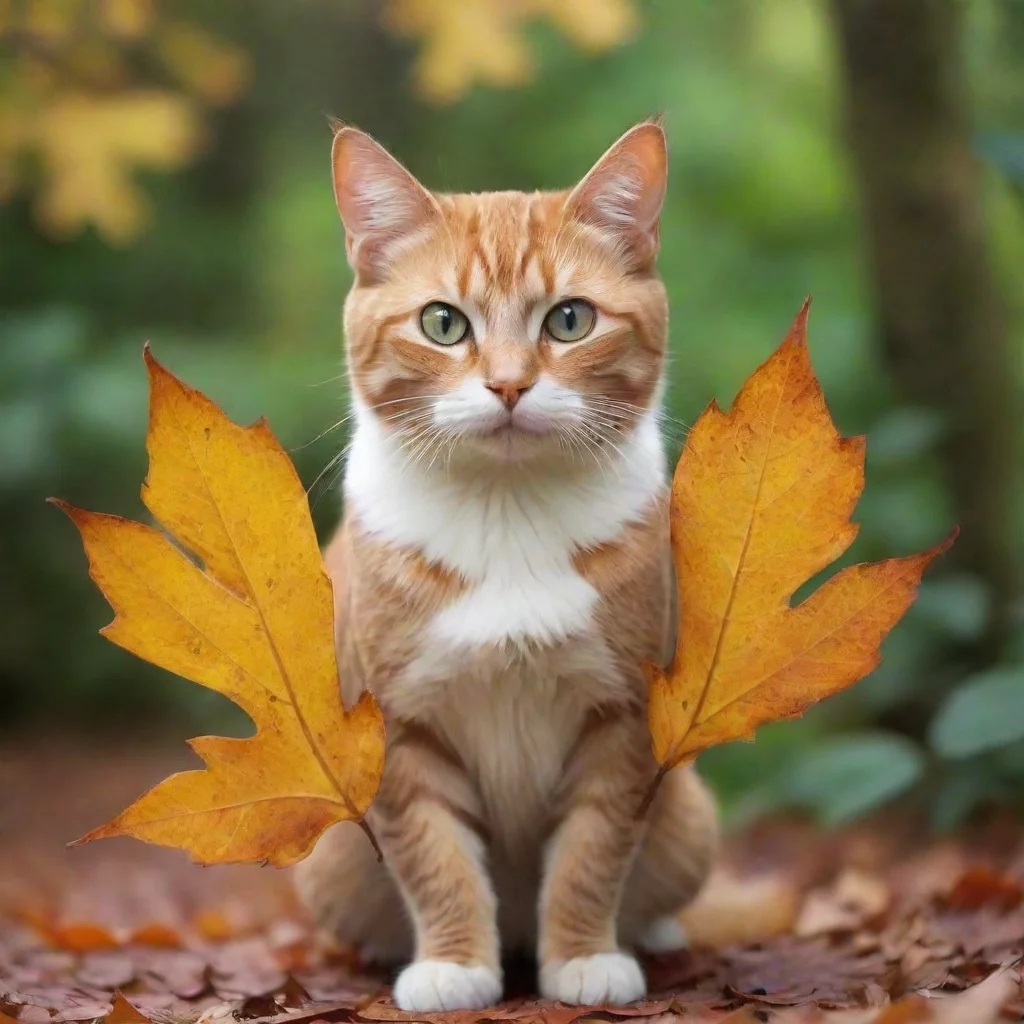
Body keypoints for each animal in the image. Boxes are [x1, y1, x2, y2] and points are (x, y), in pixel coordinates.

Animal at [292, 121, 716, 1015]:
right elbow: (436, 859)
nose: (510, 385)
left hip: (690, 817)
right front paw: (454, 966)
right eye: (443, 323)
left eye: (570, 320)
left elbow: (592, 854)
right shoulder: (397, 730)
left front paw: (584, 957)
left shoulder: (622, 721)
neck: (506, 512)